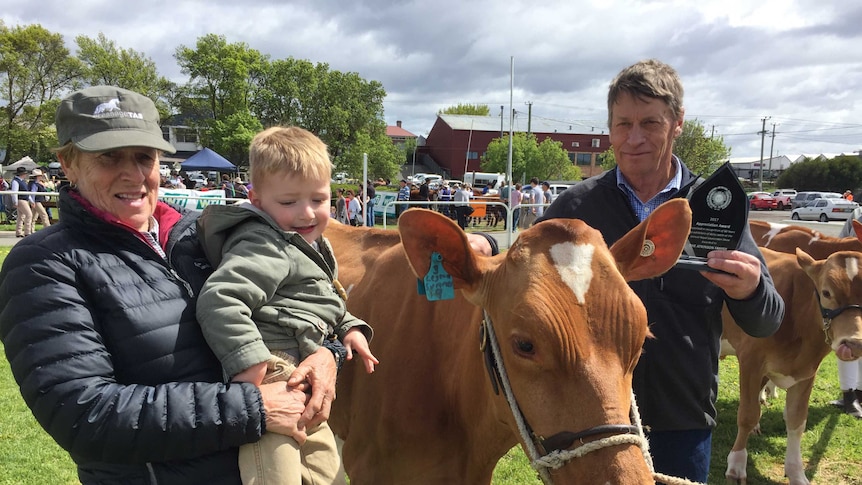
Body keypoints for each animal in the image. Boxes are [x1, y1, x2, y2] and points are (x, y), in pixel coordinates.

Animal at [724, 248, 862, 482]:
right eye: (826, 293)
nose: (854, 343)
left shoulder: (807, 373)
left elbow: (797, 421)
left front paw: (797, 473)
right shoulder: (751, 360)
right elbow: (747, 415)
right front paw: (736, 466)